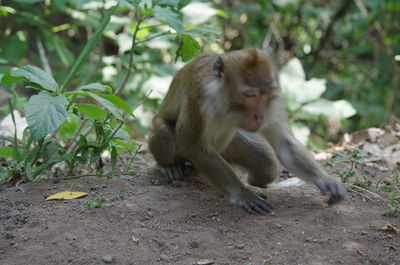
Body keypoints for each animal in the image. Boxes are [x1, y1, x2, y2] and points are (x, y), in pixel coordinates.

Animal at [148, 48, 346, 214]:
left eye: (266, 93)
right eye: (249, 95)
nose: (260, 115)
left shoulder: (274, 100)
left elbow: (285, 145)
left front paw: (325, 180)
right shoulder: (198, 96)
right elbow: (193, 144)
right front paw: (242, 193)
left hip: (228, 147)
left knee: (267, 165)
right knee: (164, 129)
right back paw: (168, 166)